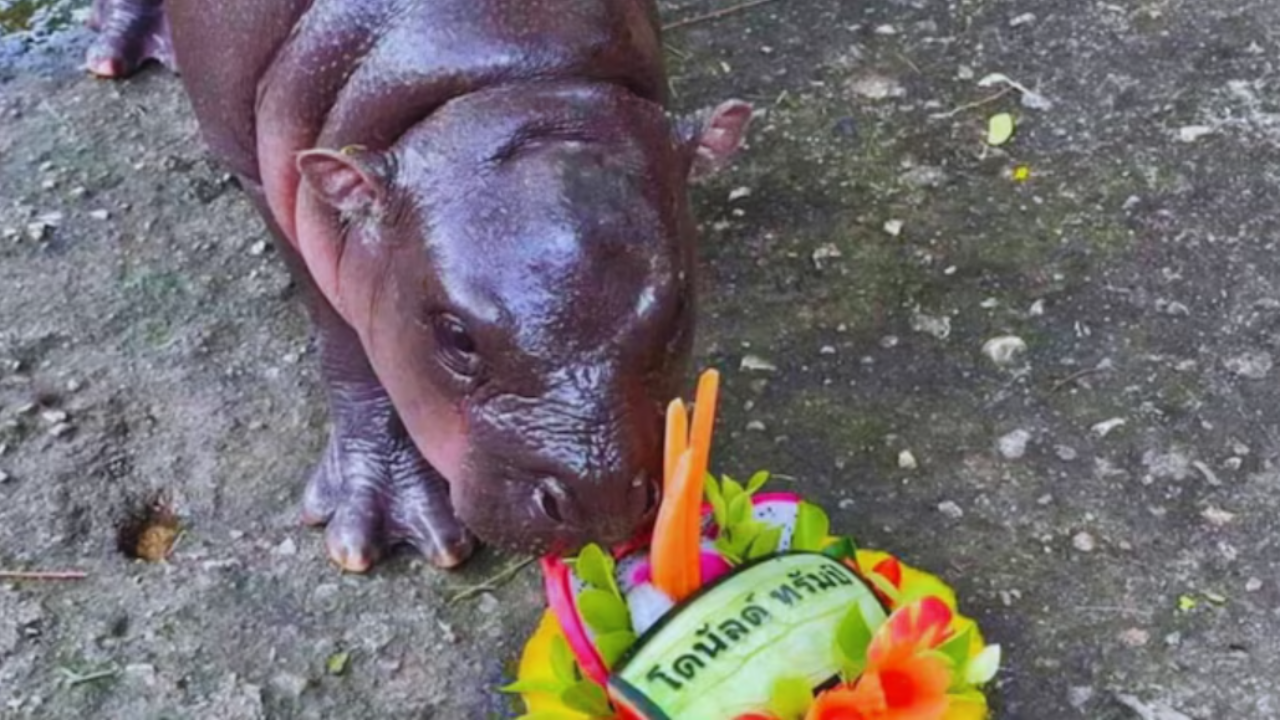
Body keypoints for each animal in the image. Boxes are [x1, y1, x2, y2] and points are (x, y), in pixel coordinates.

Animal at [87, 1, 747, 571]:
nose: (600, 498)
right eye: (457, 337)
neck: (511, 76)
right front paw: (371, 525)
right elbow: (347, 338)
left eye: (677, 308)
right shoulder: (267, 180)